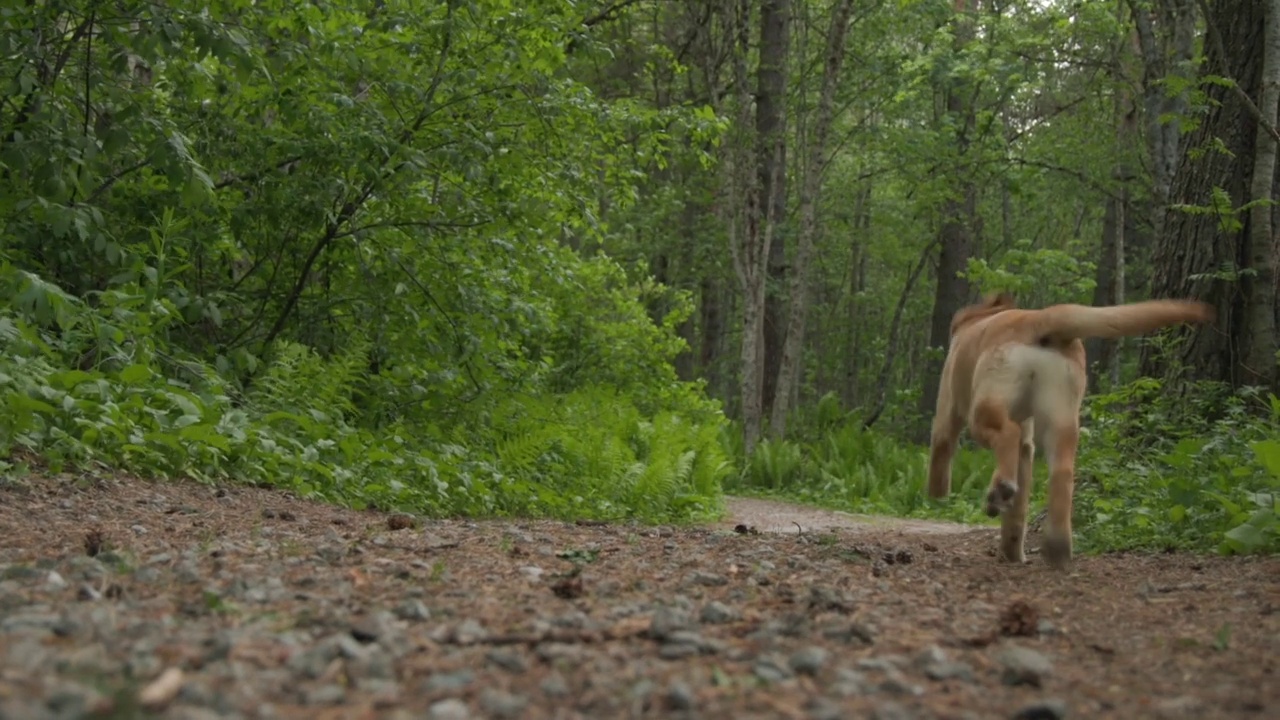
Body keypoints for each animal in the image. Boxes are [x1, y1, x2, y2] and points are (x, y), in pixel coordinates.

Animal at [931, 289, 1208, 566]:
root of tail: (1038, 320)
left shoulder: (947, 410)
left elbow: (941, 453)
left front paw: (937, 497)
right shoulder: (1028, 443)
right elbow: (1018, 511)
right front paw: (1012, 552)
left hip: (986, 409)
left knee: (1008, 434)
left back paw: (1002, 490)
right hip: (1062, 415)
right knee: (1062, 474)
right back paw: (1058, 546)